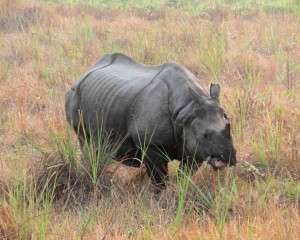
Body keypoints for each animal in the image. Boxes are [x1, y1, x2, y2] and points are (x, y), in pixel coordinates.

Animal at [65, 53, 237, 188]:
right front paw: (161, 198)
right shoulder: (151, 143)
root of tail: (85, 72)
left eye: (229, 127)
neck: (186, 109)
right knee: (86, 142)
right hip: (75, 94)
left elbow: (184, 175)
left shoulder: (194, 148)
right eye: (205, 136)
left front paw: (179, 189)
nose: (229, 158)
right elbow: (159, 179)